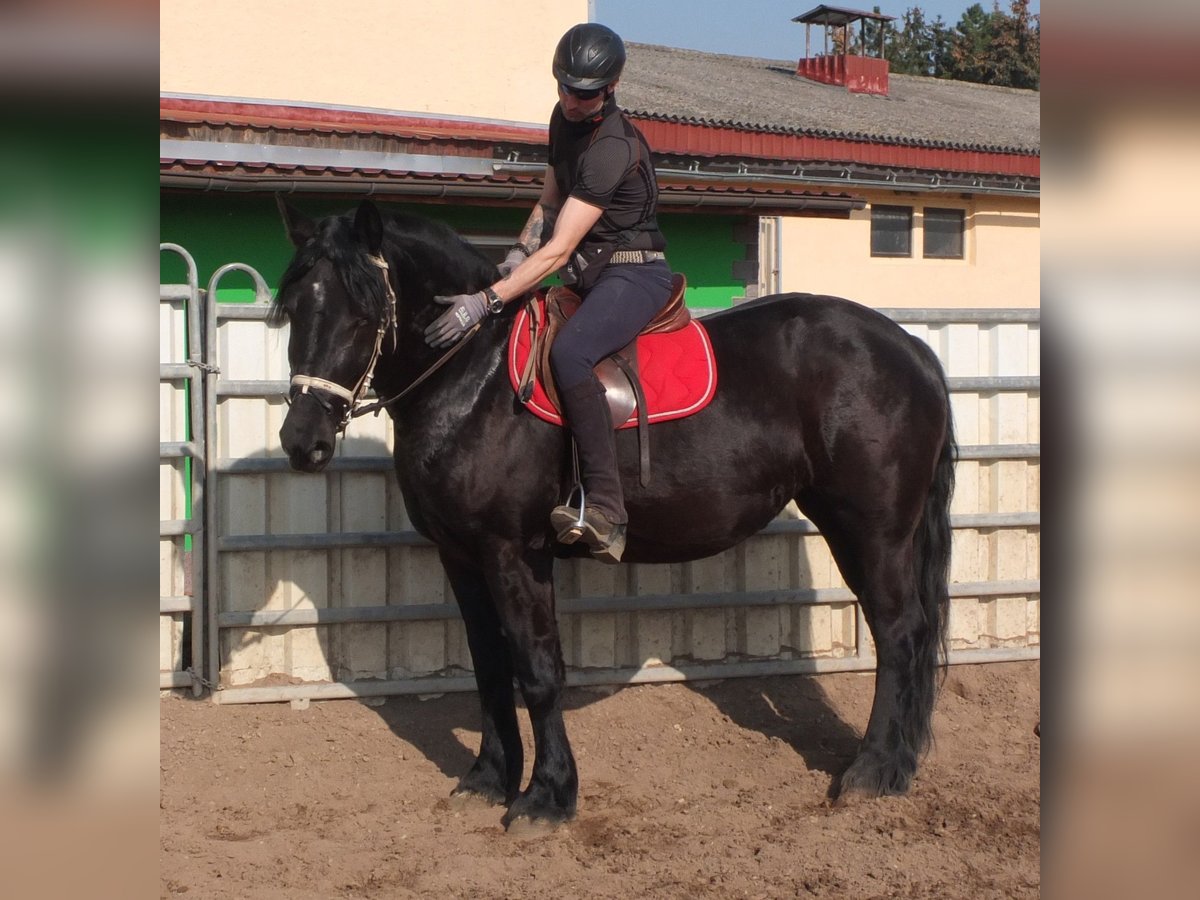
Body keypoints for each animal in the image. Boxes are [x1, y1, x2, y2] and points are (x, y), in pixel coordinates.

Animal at [272, 199, 955, 830]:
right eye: (295, 309)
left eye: (364, 313)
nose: (302, 442)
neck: (476, 378)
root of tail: (908, 345)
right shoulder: (460, 554)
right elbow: (489, 666)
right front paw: (489, 779)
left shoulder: (514, 553)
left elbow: (537, 669)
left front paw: (547, 797)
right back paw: (896, 765)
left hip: (872, 529)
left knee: (899, 632)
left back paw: (873, 770)